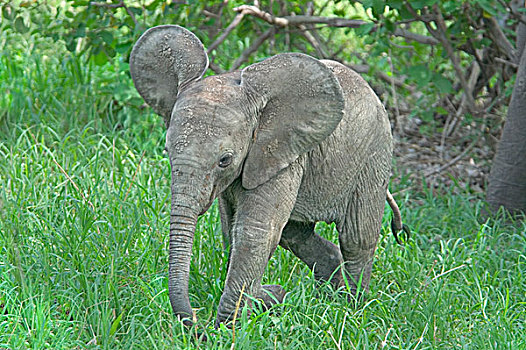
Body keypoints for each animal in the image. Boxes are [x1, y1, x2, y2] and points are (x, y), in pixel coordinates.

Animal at [129, 24, 408, 326]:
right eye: (167, 150)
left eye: (224, 160)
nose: (195, 319)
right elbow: (231, 228)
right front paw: (265, 300)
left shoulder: (280, 153)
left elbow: (254, 231)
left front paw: (229, 325)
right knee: (295, 233)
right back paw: (328, 295)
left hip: (373, 156)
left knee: (357, 237)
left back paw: (351, 307)